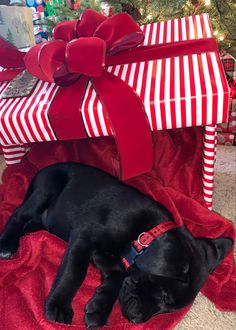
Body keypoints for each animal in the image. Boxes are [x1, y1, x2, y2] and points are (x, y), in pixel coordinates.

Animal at [0, 162, 232, 328]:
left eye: (167, 308)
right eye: (164, 296)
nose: (136, 320)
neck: (143, 234)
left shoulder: (105, 257)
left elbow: (117, 278)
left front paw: (99, 308)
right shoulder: (84, 236)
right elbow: (74, 272)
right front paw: (59, 306)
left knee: (32, 221)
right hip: (46, 189)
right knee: (18, 215)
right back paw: (8, 244)